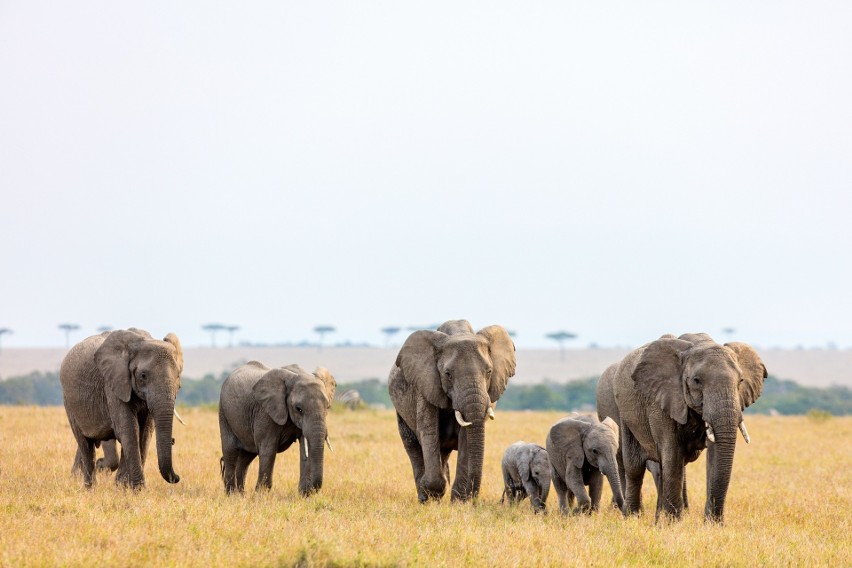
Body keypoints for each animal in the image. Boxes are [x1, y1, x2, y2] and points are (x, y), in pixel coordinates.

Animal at [61, 328, 185, 488]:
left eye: (178, 376)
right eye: (143, 375)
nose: (177, 477)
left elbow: (144, 433)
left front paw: (123, 487)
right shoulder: (113, 385)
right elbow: (129, 430)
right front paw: (138, 489)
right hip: (69, 403)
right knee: (85, 444)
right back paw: (90, 488)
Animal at [218, 362, 334, 494]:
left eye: (328, 407)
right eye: (298, 409)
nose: (311, 490)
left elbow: (304, 449)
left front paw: (304, 495)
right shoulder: (265, 412)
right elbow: (268, 449)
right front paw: (261, 495)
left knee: (245, 458)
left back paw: (241, 495)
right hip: (224, 413)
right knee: (230, 452)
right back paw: (231, 494)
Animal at [390, 320, 516, 502]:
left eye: (489, 372)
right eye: (448, 374)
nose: (473, 497)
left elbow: (466, 437)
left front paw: (459, 501)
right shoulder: (425, 385)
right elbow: (428, 432)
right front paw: (432, 492)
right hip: (401, 413)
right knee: (413, 445)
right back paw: (424, 496)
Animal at [604, 332, 764, 524]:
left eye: (740, 381)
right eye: (696, 381)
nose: (715, 520)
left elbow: (713, 454)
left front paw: (712, 525)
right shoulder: (661, 400)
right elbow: (672, 454)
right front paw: (674, 524)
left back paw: (657, 520)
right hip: (624, 413)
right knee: (634, 467)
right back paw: (633, 518)